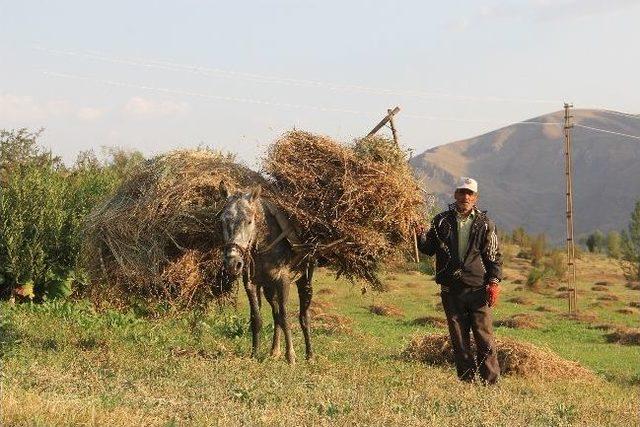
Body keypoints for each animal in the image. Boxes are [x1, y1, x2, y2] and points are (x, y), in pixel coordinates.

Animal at [218, 181, 312, 364]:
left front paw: (291, 357)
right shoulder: (251, 284)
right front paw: (254, 354)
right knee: (275, 314)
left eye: (249, 221)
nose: (233, 263)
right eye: (223, 221)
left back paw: (309, 355)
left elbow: (285, 316)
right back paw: (274, 351)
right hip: (269, 288)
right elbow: (257, 318)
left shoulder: (283, 282)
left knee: (303, 316)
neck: (265, 242)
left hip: (304, 281)